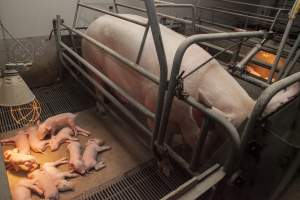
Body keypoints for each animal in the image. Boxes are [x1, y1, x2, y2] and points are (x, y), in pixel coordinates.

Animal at [82, 14, 255, 148]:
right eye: (215, 130)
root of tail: (93, 23)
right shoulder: (153, 107)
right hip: (92, 61)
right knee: (97, 85)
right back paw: (103, 111)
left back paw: (124, 101)